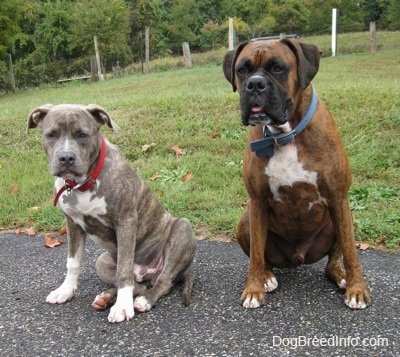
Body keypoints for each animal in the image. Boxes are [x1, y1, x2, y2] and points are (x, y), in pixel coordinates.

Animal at [27, 103, 196, 322]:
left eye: (82, 135)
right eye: (51, 134)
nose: (66, 158)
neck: (83, 183)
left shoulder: (126, 221)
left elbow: (124, 270)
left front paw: (123, 307)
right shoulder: (72, 224)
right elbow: (73, 262)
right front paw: (65, 290)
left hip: (183, 228)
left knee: (161, 281)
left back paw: (143, 300)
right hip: (102, 262)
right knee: (138, 285)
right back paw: (105, 298)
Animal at [223, 37, 370, 308]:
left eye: (278, 68)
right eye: (242, 70)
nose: (255, 84)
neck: (285, 134)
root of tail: (297, 257)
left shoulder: (338, 198)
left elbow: (351, 251)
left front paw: (357, 289)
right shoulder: (257, 202)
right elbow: (255, 254)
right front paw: (253, 289)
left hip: (345, 217)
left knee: (333, 262)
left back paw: (342, 277)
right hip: (246, 220)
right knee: (263, 257)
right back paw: (266, 277)